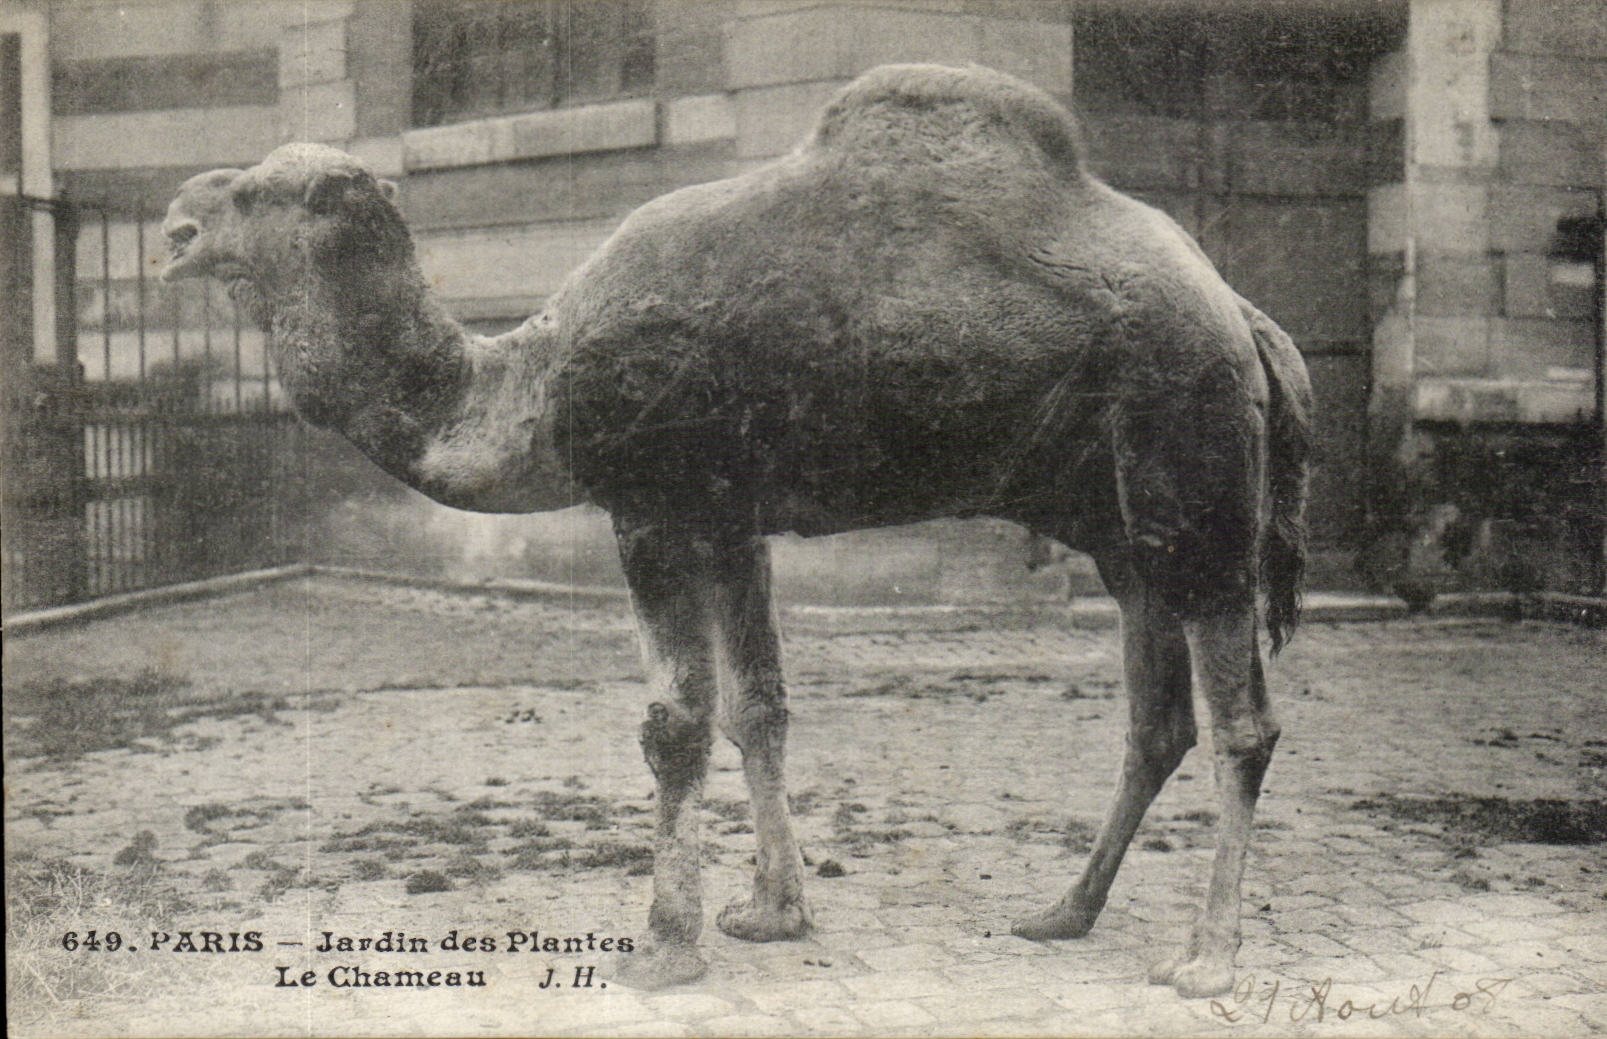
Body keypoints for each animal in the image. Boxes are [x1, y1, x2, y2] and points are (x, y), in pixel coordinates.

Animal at [161, 64, 1311, 998]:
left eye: (261, 192)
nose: (175, 220)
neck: (526, 386)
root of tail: (1246, 318)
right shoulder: (730, 521)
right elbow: (759, 707)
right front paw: (770, 912)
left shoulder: (653, 506)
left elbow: (673, 724)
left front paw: (663, 947)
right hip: (1125, 527)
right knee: (1154, 720)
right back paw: (1063, 911)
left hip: (1192, 470)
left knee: (1239, 722)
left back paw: (1205, 958)